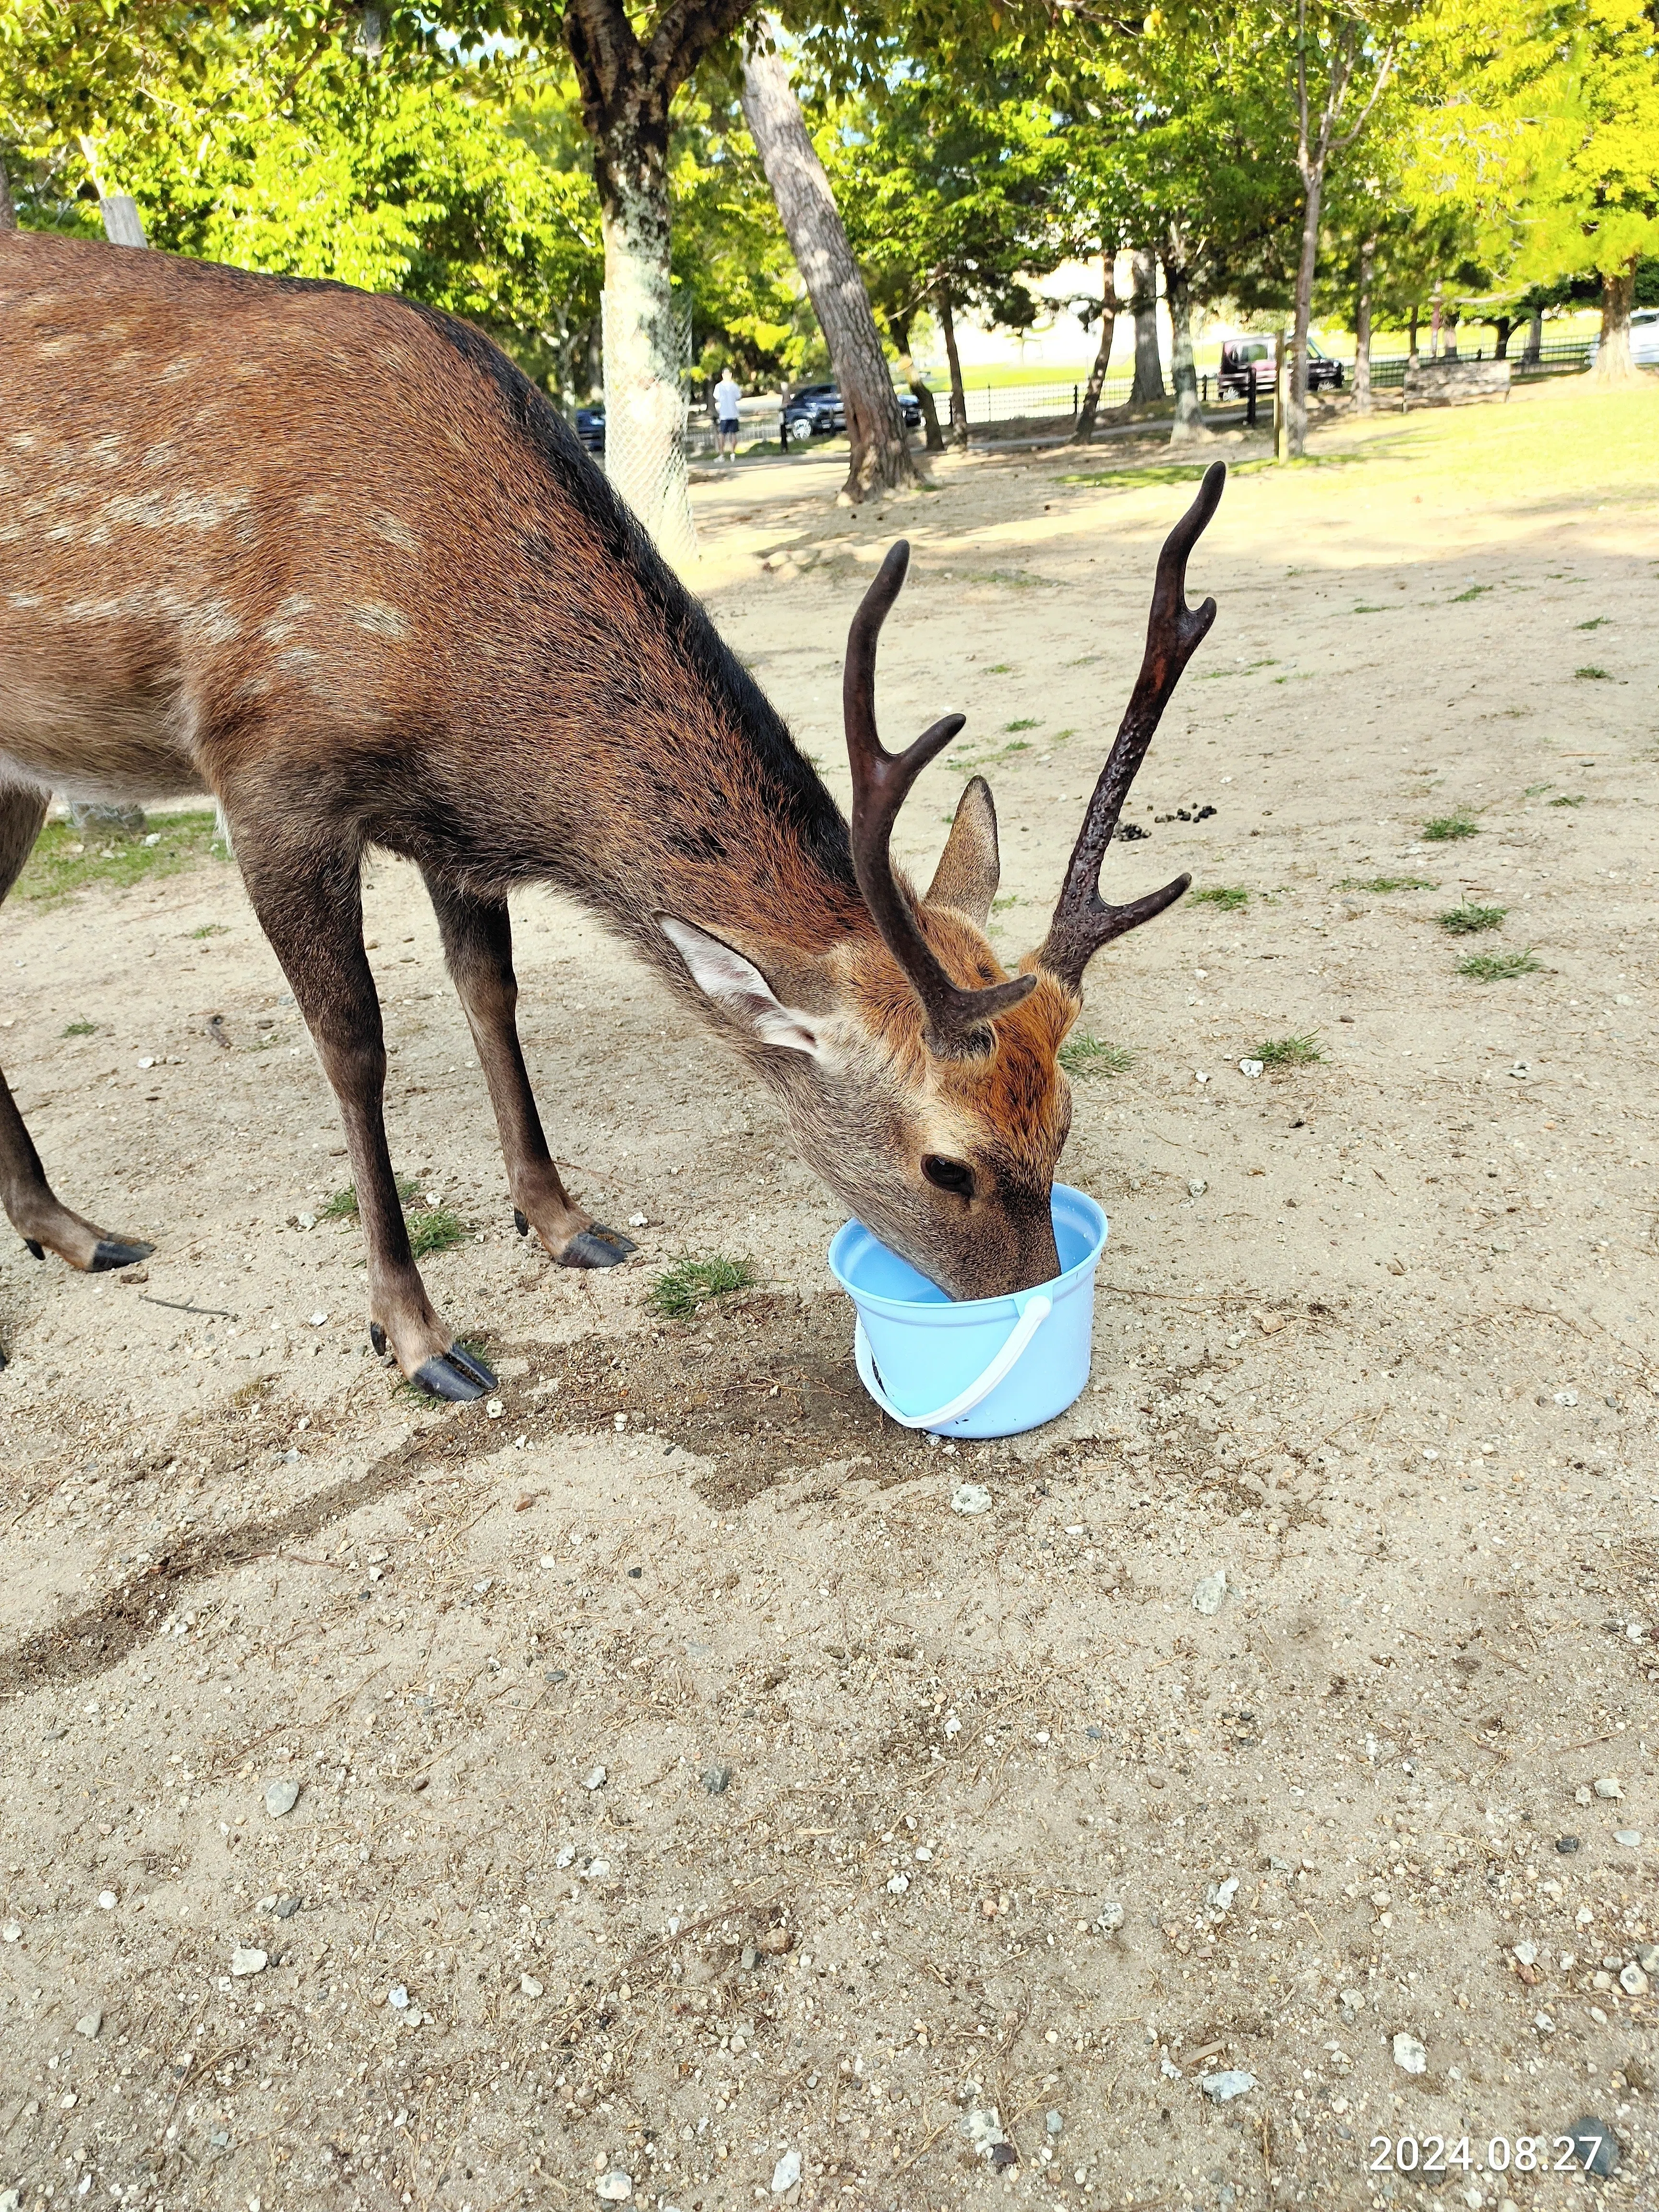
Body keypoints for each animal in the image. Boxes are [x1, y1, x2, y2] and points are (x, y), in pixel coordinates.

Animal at [0, 232, 1223, 1399]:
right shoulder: (263, 767)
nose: (1027, 1306)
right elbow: (354, 1045)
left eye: (1063, 1117)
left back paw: (72, 1230)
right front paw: (414, 1331)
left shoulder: (451, 829)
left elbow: (491, 998)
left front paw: (563, 1223)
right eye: (948, 1165)